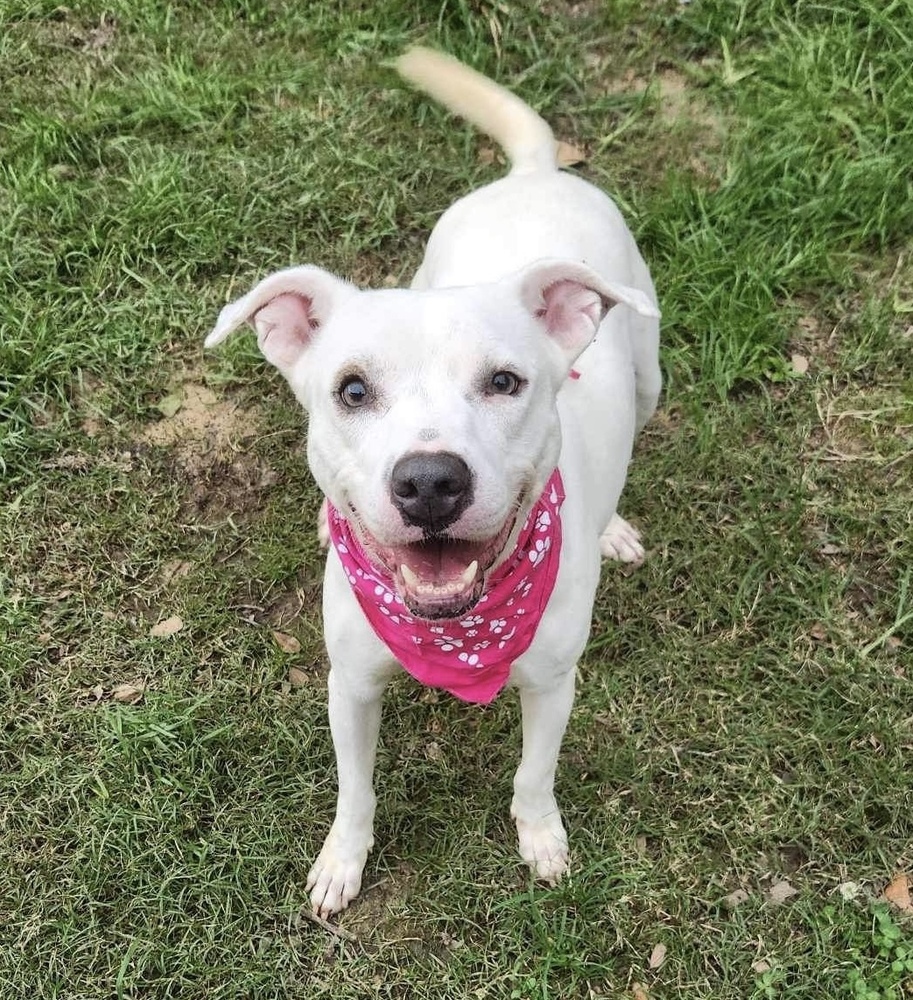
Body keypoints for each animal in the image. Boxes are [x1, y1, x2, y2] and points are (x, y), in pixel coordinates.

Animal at [205, 50, 664, 916]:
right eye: (352, 390)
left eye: (505, 381)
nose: (428, 483)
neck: (457, 632)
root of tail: (536, 172)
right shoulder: (350, 684)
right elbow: (354, 791)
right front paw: (341, 863)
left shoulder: (552, 682)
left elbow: (534, 775)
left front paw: (540, 839)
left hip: (649, 367)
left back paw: (613, 526)